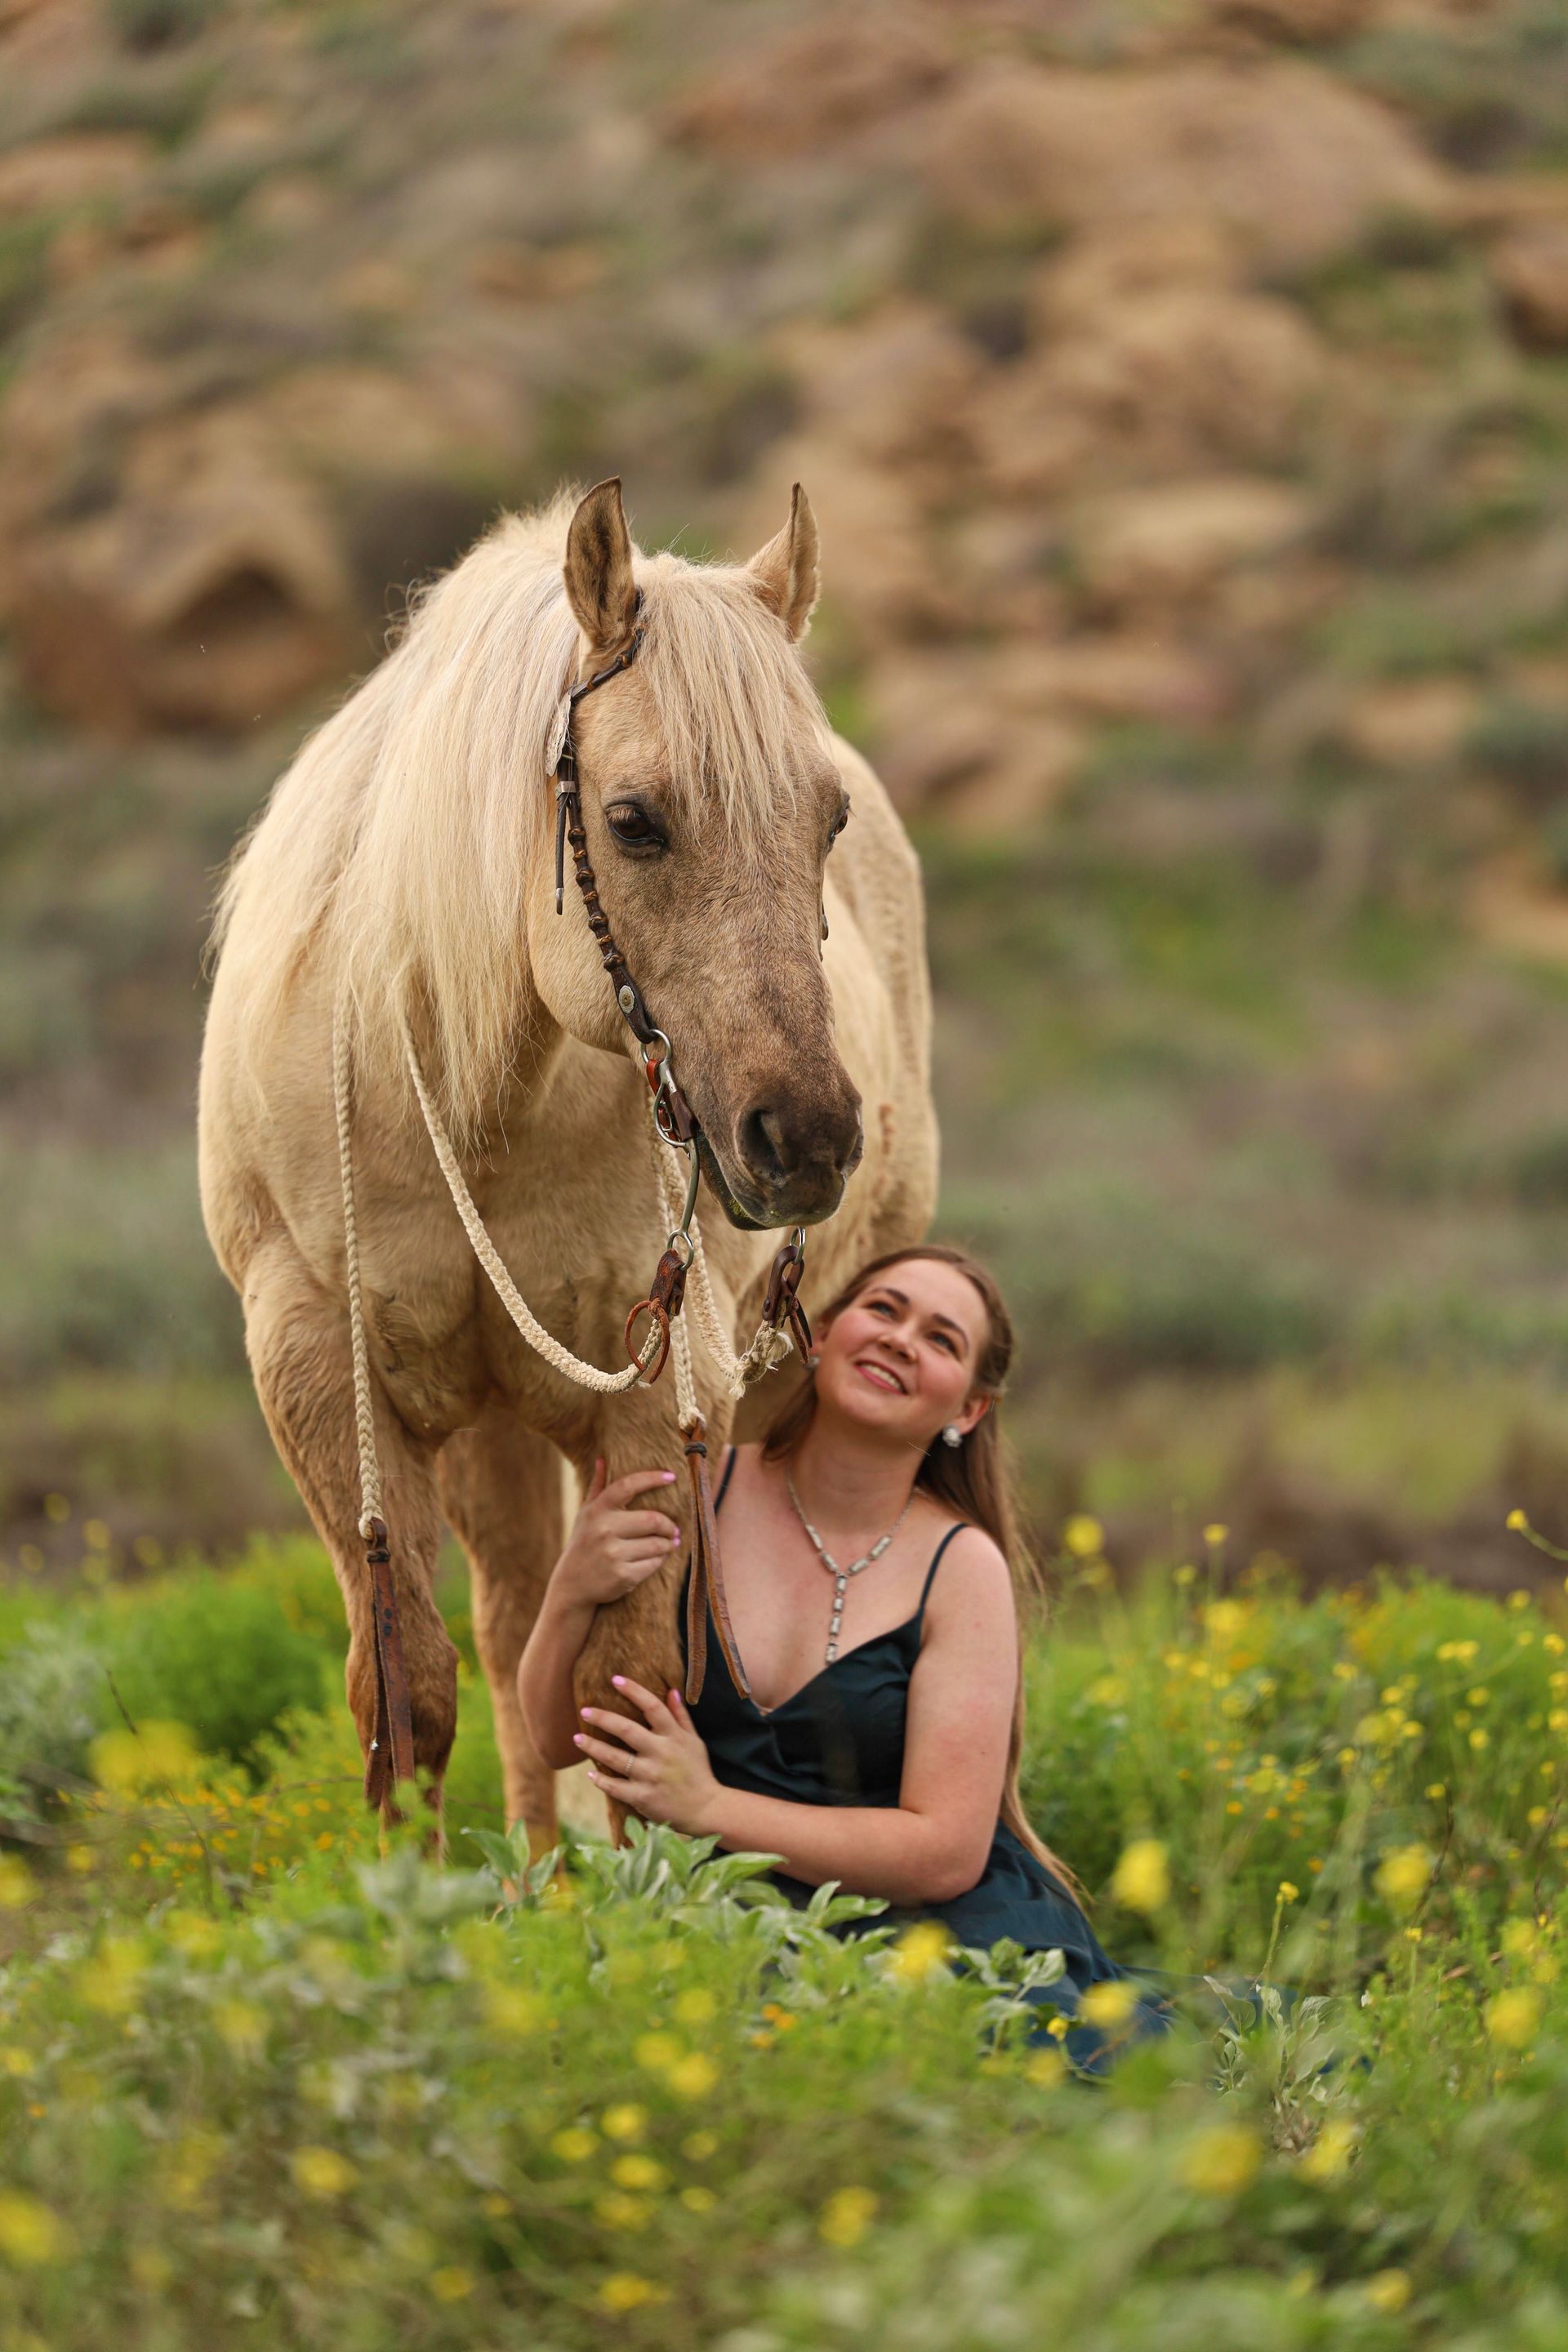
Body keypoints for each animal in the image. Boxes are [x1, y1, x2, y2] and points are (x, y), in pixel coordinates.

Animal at [197, 476, 938, 1854]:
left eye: (829, 820)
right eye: (632, 821)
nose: (806, 1138)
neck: (467, 1088)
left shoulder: (659, 1388)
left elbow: (625, 1681)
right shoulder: (320, 1369)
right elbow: (408, 1689)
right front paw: (416, 1895)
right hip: (491, 1422)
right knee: (508, 1625)